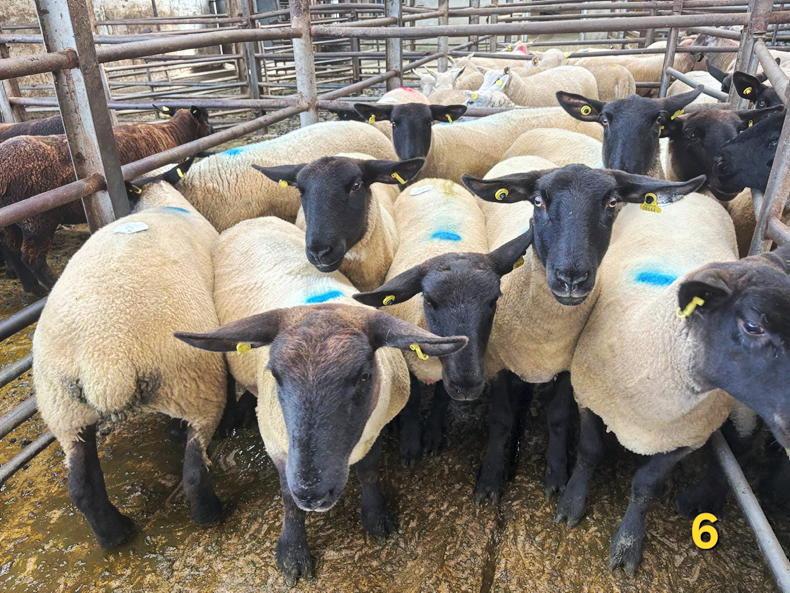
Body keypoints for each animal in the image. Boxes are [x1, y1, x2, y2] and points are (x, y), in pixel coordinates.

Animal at [0, 106, 212, 293]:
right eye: (206, 117)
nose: (212, 131)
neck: (173, 133)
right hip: (38, 221)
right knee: (32, 259)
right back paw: (49, 287)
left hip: (12, 224)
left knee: (12, 250)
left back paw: (31, 288)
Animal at [33, 170, 226, 550]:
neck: (161, 202)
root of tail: (106, 358)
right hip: (197, 385)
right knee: (194, 471)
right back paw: (211, 513)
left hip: (63, 410)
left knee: (82, 487)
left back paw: (115, 534)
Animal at [176, 215, 467, 584]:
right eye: (276, 374)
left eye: (363, 376)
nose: (313, 494)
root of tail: (255, 219)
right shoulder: (277, 442)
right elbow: (288, 498)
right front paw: (293, 554)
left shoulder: (375, 426)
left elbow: (369, 470)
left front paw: (376, 517)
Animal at [462, 162, 705, 498]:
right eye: (538, 201)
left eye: (612, 202)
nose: (572, 278)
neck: (544, 332)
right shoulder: (497, 361)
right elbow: (500, 419)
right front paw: (490, 480)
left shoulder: (568, 366)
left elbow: (559, 418)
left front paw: (556, 476)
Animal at [558, 194, 790, 575]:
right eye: (753, 326)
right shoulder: (587, 397)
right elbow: (589, 451)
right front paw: (571, 504)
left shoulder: (686, 438)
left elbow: (646, 484)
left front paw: (628, 542)